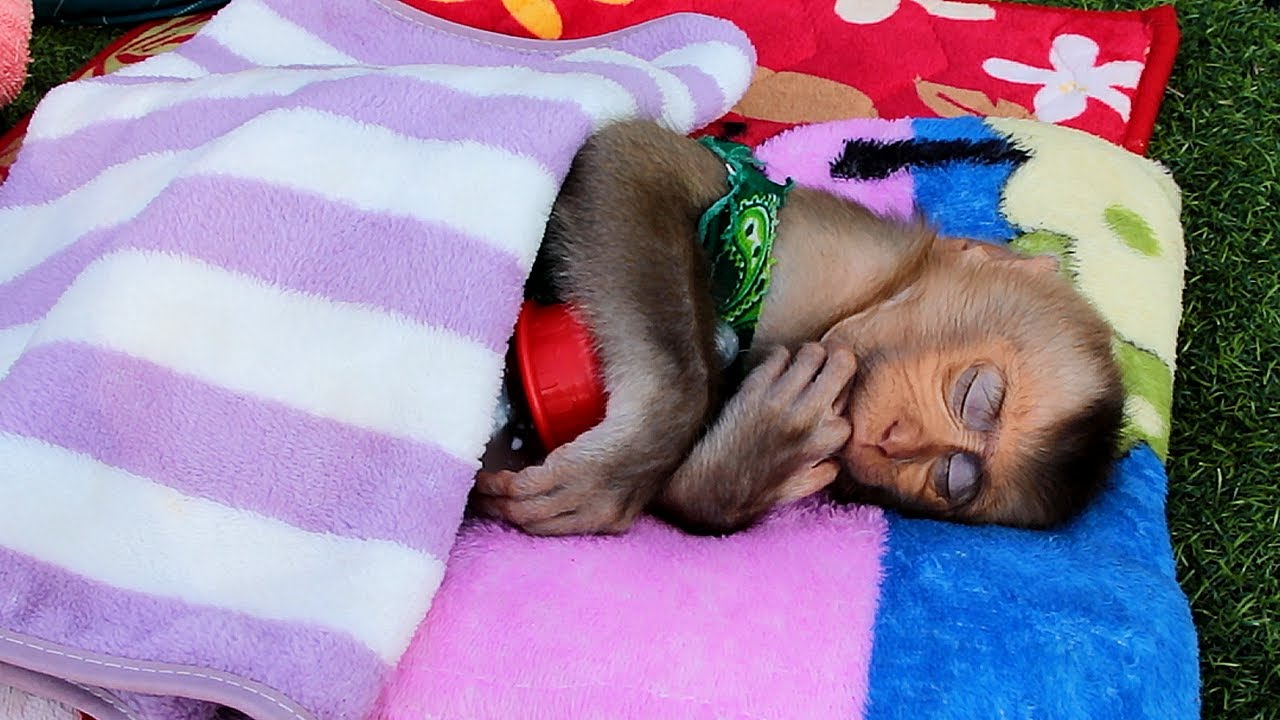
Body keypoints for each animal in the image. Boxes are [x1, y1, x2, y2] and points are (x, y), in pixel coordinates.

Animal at [472, 120, 1125, 537]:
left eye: (951, 479)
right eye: (976, 394)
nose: (895, 439)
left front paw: (749, 462)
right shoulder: (833, 259)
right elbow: (625, 159)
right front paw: (626, 468)